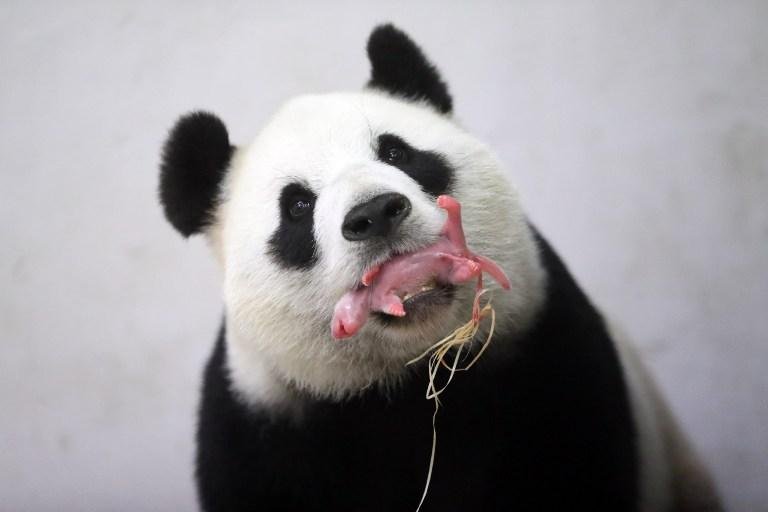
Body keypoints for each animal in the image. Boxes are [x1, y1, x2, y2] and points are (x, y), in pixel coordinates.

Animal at [159, 24, 722, 512]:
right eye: (297, 206)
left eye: (396, 152)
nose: (375, 213)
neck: (408, 380)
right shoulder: (263, 424)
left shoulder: (549, 353)